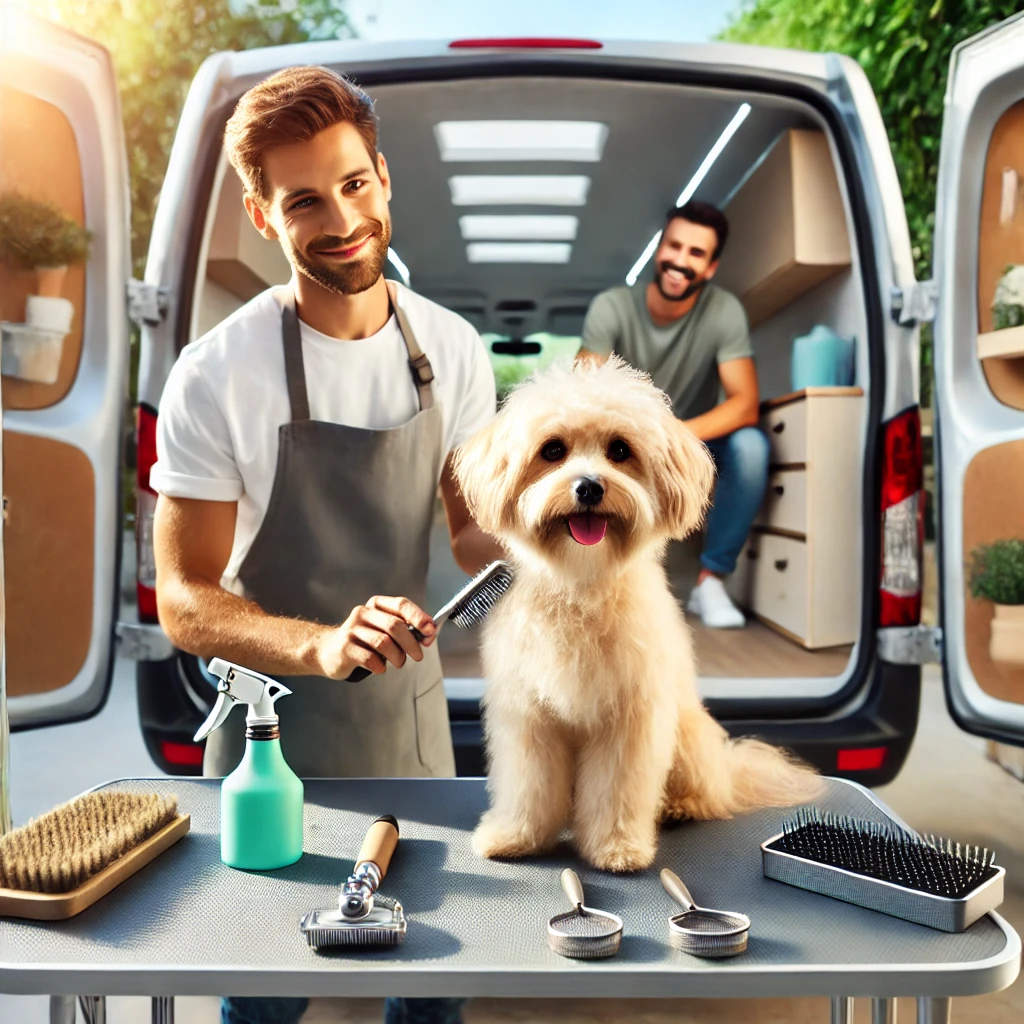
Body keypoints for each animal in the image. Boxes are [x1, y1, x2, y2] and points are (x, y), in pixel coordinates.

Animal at [456, 358, 823, 872]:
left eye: (619, 450)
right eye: (553, 450)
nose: (589, 487)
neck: (581, 583)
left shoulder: (629, 719)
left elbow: (617, 791)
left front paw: (617, 847)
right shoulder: (530, 719)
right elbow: (528, 785)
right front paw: (516, 836)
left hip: (685, 736)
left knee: (705, 793)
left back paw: (680, 806)